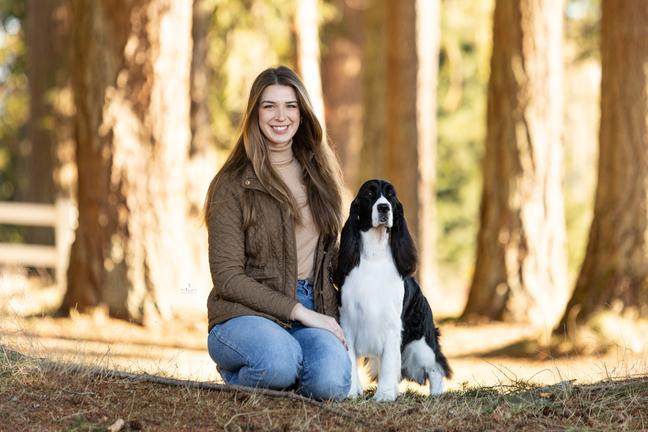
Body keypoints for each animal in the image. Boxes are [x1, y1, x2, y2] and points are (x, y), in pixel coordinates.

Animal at [335, 179, 452, 401]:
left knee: (436, 367)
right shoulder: (347, 321)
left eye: (391, 196)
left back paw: (435, 395)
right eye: (369, 194)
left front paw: (385, 395)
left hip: (421, 344)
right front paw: (351, 392)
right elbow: (350, 359)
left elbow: (389, 362)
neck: (374, 255)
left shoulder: (391, 325)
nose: (383, 208)